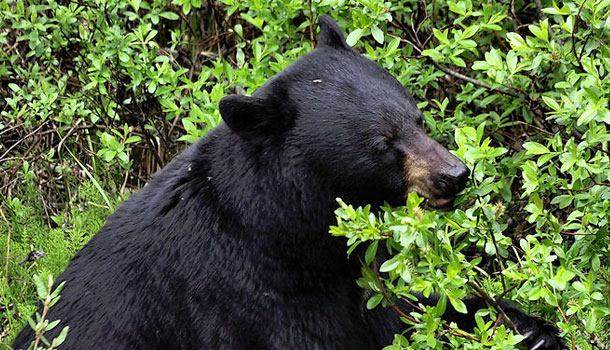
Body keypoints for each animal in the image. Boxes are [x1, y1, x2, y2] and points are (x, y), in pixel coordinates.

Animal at [14, 15, 564, 350]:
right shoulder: (248, 297)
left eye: (418, 119)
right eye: (381, 142)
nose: (454, 175)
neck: (289, 231)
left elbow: (410, 306)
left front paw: (530, 329)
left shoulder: (354, 274)